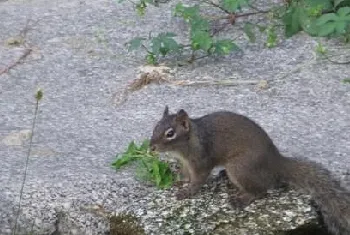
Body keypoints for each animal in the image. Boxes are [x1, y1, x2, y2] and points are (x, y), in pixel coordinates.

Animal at [150, 106, 350, 235]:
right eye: (155, 126)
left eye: (170, 133)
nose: (151, 147)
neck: (189, 143)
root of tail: (277, 163)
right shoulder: (185, 163)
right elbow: (185, 174)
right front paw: (179, 182)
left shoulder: (201, 161)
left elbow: (199, 179)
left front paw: (188, 191)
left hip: (240, 168)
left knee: (261, 190)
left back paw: (242, 199)